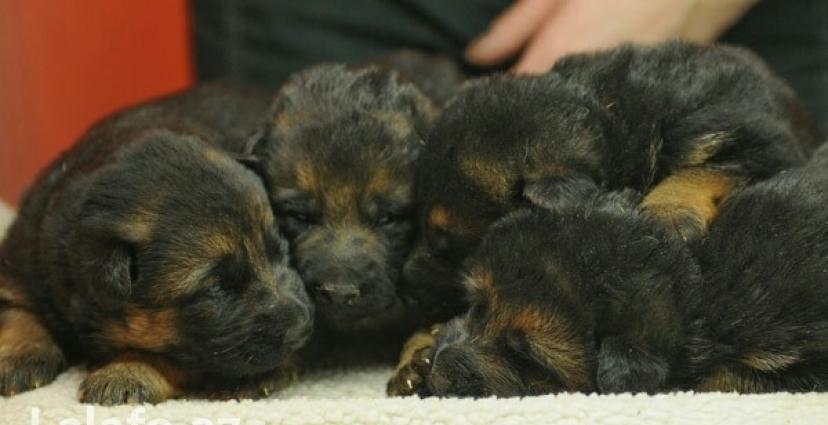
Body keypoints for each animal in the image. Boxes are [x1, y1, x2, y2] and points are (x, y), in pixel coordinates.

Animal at [0, 104, 313, 404]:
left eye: (280, 251)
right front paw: (17, 354)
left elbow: (165, 355)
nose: (302, 327)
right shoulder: (23, 260)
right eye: (216, 288)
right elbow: (17, 311)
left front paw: (126, 371)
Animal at [403, 40, 819, 327]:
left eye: (450, 246)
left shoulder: (758, 141)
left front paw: (667, 212)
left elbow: (703, 169)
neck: (613, 116)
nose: (404, 283)